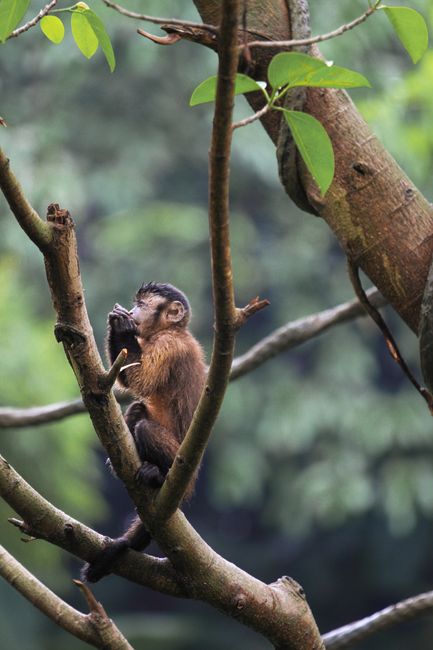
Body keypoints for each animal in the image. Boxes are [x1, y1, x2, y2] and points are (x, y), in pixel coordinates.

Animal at [81, 282, 206, 582]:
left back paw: (158, 475)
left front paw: (122, 328)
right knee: (138, 409)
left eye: (141, 305)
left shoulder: (169, 345)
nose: (132, 311)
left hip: (183, 470)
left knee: (146, 427)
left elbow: (142, 379)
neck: (171, 330)